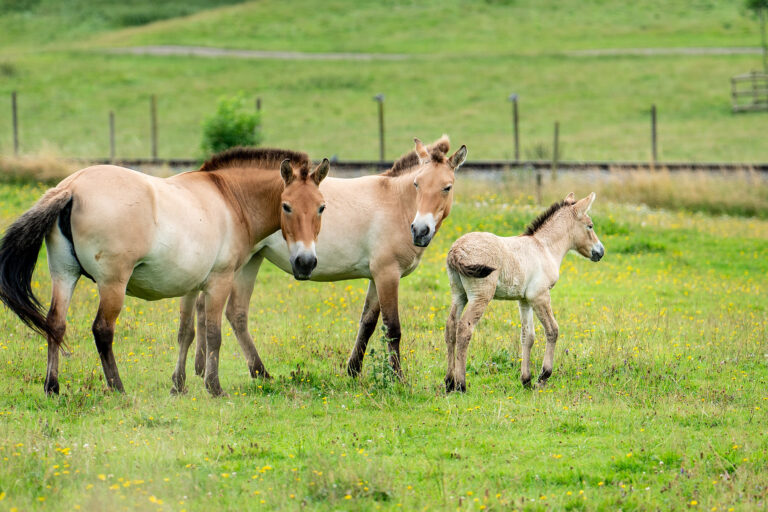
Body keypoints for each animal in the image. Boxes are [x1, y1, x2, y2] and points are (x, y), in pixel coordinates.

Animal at [0, 148, 328, 396]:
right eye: (286, 206)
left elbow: (186, 333)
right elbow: (214, 334)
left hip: (64, 275)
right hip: (112, 284)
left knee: (55, 324)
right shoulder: (219, 282)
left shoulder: (192, 286)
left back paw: (52, 387)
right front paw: (214, 387)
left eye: (321, 207)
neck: (228, 196)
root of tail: (72, 187)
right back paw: (117, 387)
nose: (305, 262)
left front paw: (179, 385)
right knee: (102, 330)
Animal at [192, 136, 468, 380]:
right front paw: (397, 378)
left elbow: (367, 322)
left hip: (250, 260)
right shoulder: (387, 274)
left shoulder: (376, 276)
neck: (396, 203)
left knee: (227, 311)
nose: (420, 230)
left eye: (447, 187)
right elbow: (392, 328)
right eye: (417, 184)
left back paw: (239, 370)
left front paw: (353, 370)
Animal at [444, 192, 608, 392]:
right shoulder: (540, 296)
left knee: (451, 327)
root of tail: (456, 251)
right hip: (480, 297)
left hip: (458, 294)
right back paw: (461, 385)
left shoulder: (524, 301)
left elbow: (527, 337)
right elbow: (552, 330)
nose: (600, 252)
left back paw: (449, 382)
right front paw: (543, 376)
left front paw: (526, 380)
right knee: (464, 330)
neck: (544, 247)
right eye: (590, 226)